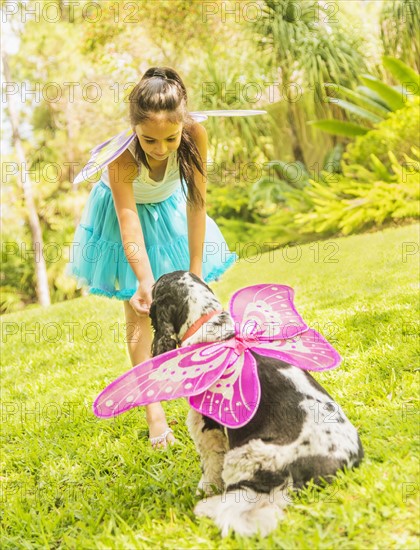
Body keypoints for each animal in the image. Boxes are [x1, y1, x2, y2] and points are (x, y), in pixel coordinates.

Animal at [149, 272, 362, 540]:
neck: (210, 323)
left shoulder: (205, 424)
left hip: (247, 453)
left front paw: (204, 490)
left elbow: (210, 463)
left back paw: (205, 508)